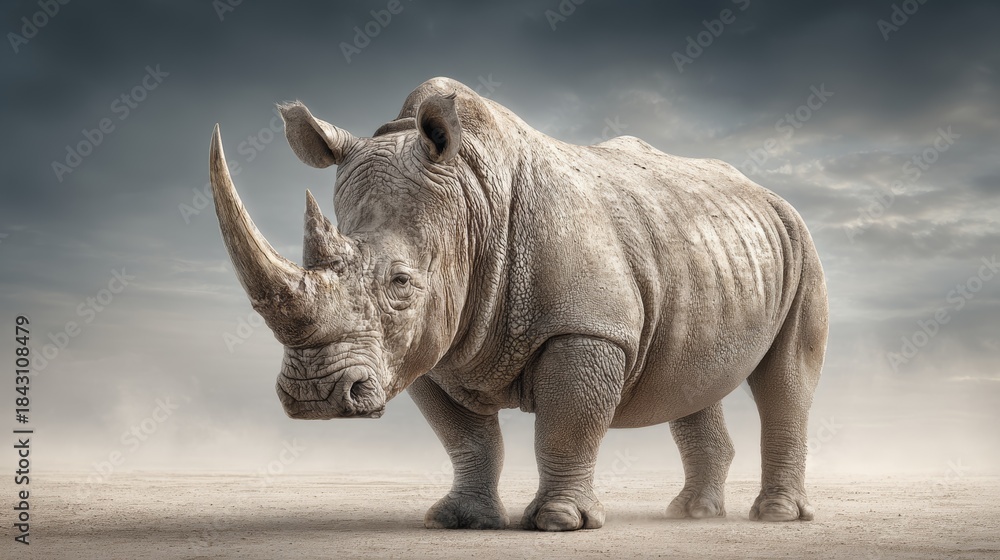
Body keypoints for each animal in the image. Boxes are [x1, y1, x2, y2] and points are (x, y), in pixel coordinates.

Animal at [209, 77, 828, 531]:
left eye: (402, 284)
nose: (314, 395)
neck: (471, 201)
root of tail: (767, 195)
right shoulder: (430, 343)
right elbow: (467, 438)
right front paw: (459, 521)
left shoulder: (587, 327)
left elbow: (567, 424)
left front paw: (559, 523)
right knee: (691, 377)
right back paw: (691, 514)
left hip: (800, 242)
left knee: (785, 379)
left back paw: (775, 516)